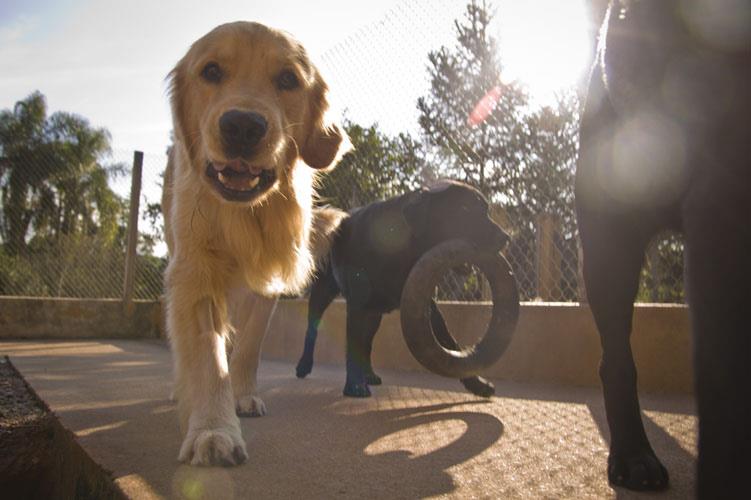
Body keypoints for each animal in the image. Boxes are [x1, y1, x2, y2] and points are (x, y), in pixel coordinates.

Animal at [163, 21, 348, 466]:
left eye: (288, 79)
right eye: (211, 71)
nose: (243, 127)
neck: (244, 215)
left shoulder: (269, 280)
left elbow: (249, 346)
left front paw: (242, 394)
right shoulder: (194, 271)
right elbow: (208, 356)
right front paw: (213, 429)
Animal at [296, 182, 508, 396]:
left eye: (487, 211)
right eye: (465, 208)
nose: (505, 237)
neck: (401, 247)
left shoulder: (426, 305)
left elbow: (450, 342)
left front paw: (477, 383)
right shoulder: (357, 304)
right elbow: (353, 344)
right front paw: (354, 385)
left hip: (374, 315)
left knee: (367, 343)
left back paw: (369, 374)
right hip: (323, 293)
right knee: (312, 330)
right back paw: (304, 365)